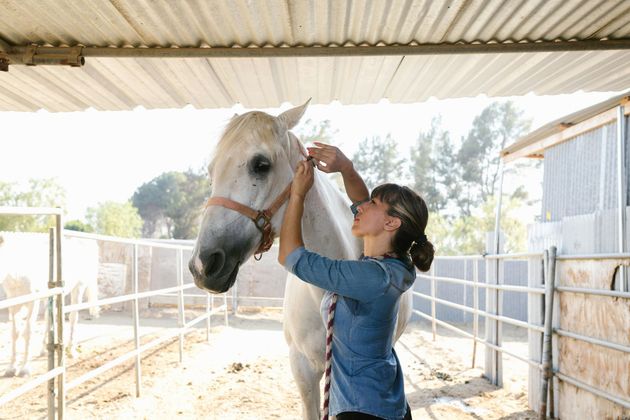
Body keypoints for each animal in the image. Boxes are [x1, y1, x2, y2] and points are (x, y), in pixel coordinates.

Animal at [0, 231, 100, 376]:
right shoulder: (14, 303)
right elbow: (15, 332)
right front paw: (11, 368)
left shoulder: (33, 301)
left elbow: (28, 332)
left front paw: (25, 369)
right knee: (49, 318)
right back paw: (44, 349)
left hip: (78, 288)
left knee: (73, 318)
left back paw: (71, 351)